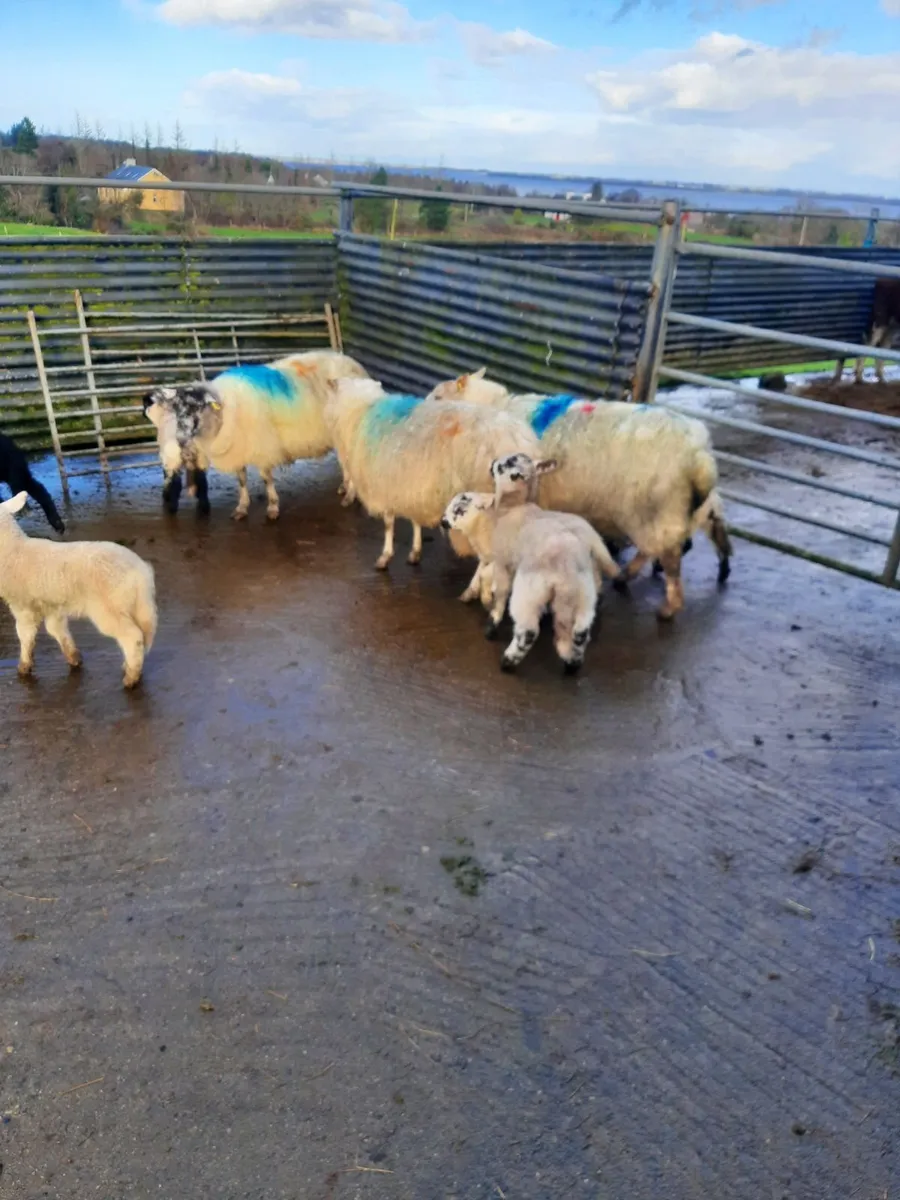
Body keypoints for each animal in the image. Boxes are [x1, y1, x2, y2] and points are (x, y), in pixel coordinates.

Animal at [0, 491, 157, 688]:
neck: (13, 551)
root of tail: (140, 572)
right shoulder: (52, 604)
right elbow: (56, 629)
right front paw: (74, 658)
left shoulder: (22, 605)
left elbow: (25, 634)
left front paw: (23, 667)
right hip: (133, 604)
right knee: (141, 633)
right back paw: (130, 665)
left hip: (109, 606)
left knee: (133, 636)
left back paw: (131, 678)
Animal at [143, 349, 369, 521]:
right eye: (176, 408)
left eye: (197, 406)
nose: (180, 438)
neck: (225, 411)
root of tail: (353, 363)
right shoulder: (238, 448)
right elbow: (242, 480)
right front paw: (242, 507)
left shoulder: (262, 445)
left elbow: (266, 479)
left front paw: (273, 508)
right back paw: (344, 488)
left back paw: (349, 496)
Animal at [323, 377, 541, 571]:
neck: (360, 412)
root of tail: (520, 438)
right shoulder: (411, 485)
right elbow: (415, 519)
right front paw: (415, 552)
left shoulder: (385, 484)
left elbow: (388, 524)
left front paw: (385, 557)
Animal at [428, 369, 732, 619]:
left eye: (439, 395)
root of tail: (700, 458)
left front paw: (479, 591)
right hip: (677, 509)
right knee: (700, 529)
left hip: (657, 510)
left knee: (668, 558)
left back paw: (668, 605)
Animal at [441, 485, 619, 674]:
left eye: (459, 509)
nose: (442, 522)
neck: (491, 521)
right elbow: (481, 570)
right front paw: (472, 593)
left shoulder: (502, 561)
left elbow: (490, 580)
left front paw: (488, 602)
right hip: (581, 592)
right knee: (580, 628)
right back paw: (572, 661)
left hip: (530, 591)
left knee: (528, 630)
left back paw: (508, 660)